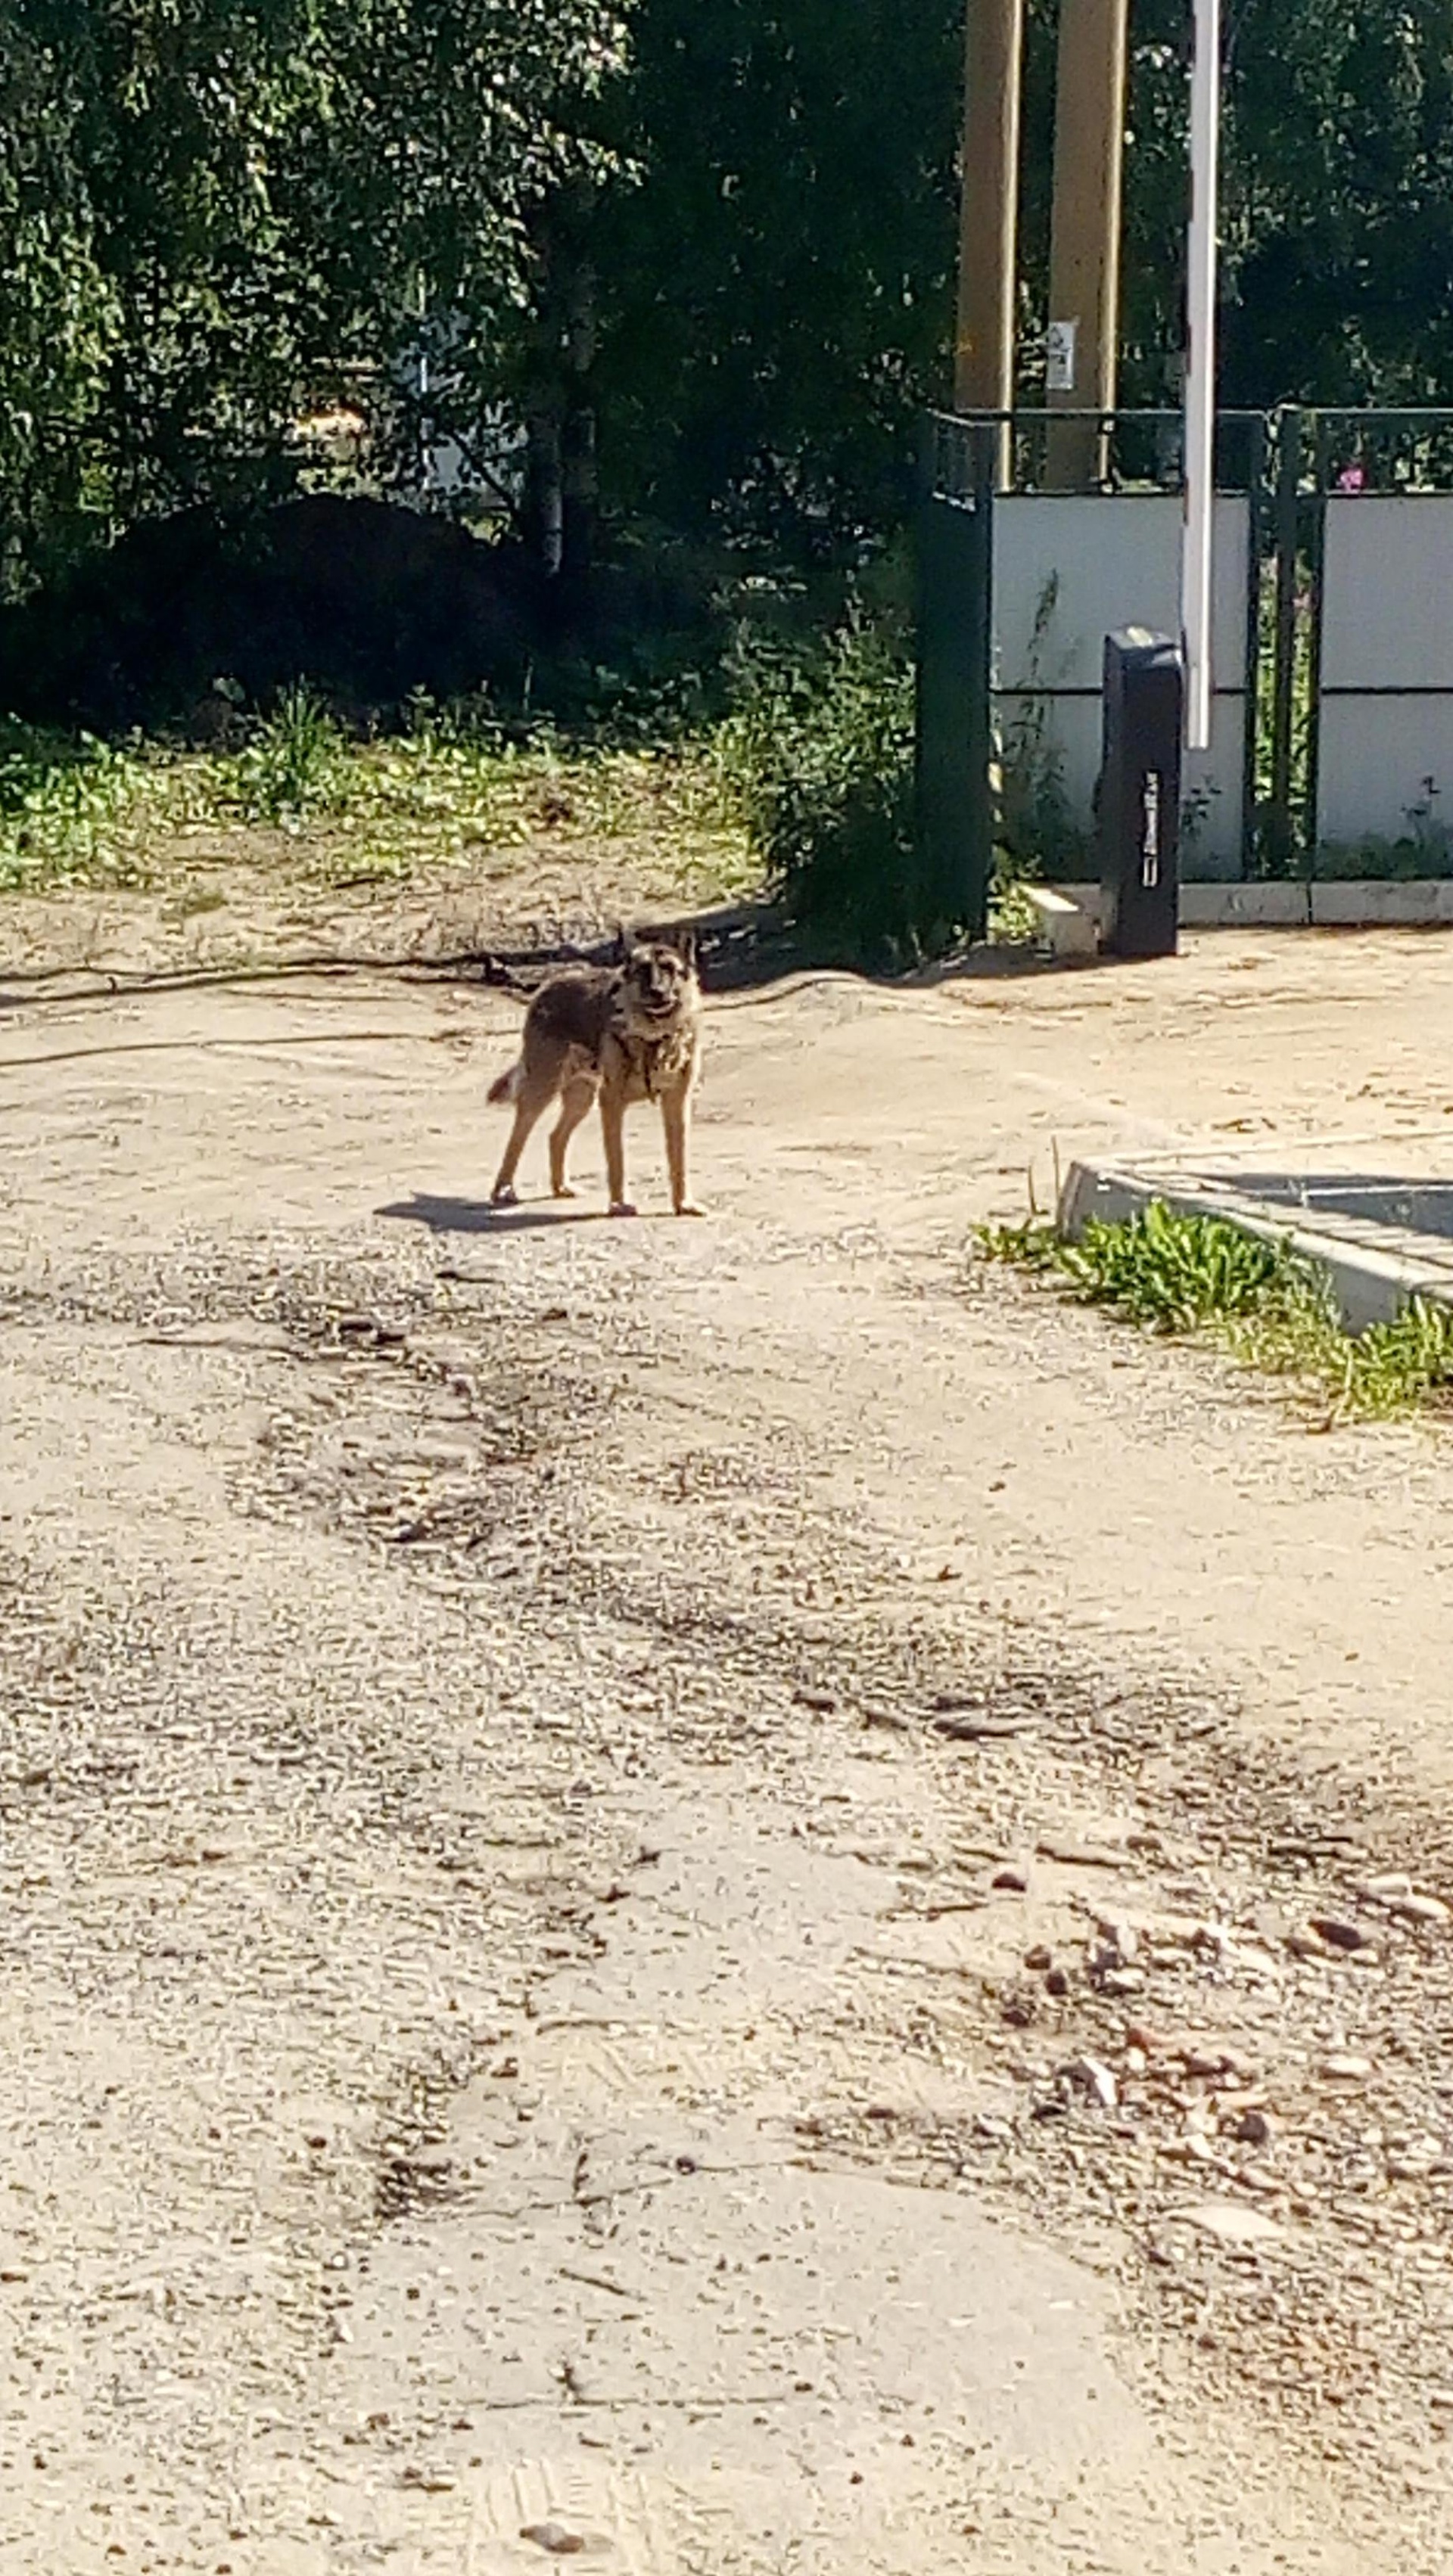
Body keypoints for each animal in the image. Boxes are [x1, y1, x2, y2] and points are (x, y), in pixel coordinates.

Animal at [487, 937, 705, 1216]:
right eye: (643, 970)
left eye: (668, 968)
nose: (657, 991)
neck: (653, 1037)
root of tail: (550, 983)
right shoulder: (612, 1102)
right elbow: (617, 1160)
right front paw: (619, 1204)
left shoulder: (677, 1103)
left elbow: (679, 1160)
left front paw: (684, 1203)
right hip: (543, 1090)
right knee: (517, 1138)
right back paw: (503, 1190)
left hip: (582, 1098)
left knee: (555, 1136)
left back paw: (561, 1187)